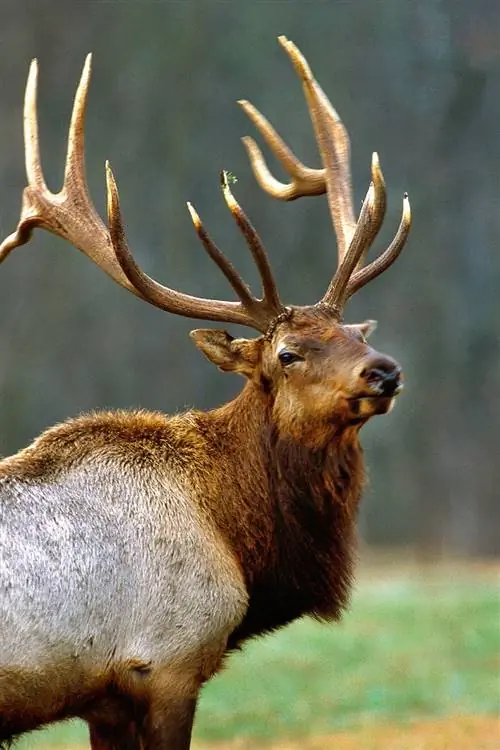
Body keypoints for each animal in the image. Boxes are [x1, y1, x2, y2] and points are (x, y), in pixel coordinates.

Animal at [0, 36, 411, 750]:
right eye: (287, 353)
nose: (383, 371)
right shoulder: (167, 660)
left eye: (352, 333)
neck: (233, 530)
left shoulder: (103, 697)